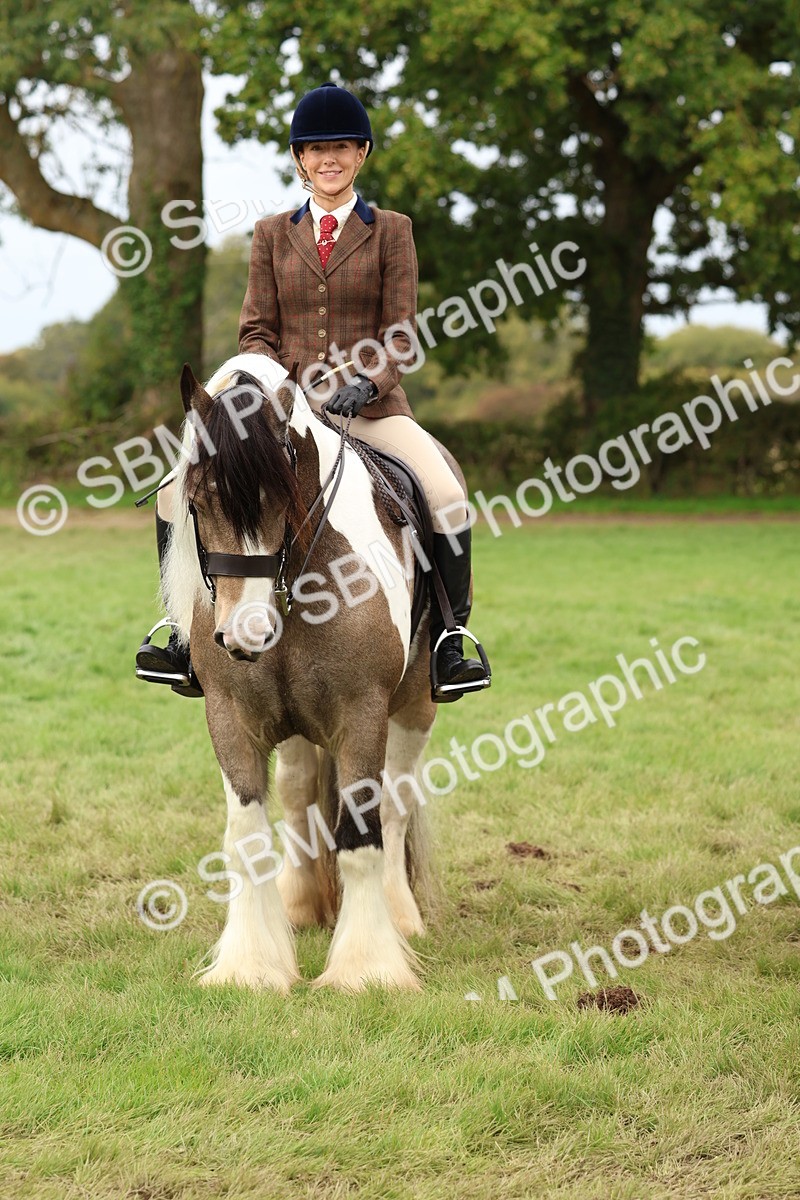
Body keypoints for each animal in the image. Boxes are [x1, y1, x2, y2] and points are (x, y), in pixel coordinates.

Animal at [161, 353, 466, 993]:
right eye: (197, 504)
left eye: (286, 500)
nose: (247, 633)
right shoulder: (230, 716)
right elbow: (248, 839)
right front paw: (250, 967)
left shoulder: (362, 714)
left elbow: (362, 840)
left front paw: (366, 970)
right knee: (299, 797)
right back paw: (300, 907)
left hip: (413, 708)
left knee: (395, 804)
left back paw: (400, 918)